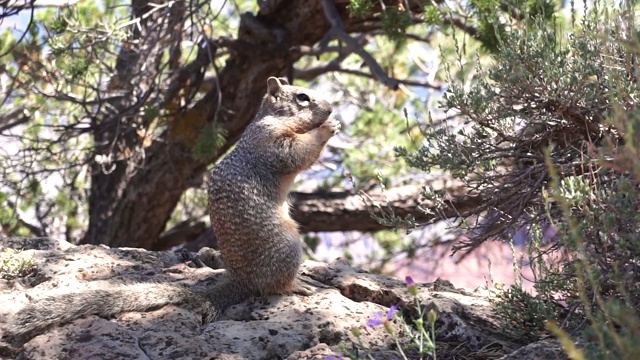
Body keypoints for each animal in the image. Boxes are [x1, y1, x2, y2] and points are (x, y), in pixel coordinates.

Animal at [8, 76, 340, 338]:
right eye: (302, 97)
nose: (331, 109)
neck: (268, 119)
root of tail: (241, 279)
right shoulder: (272, 142)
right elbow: (298, 153)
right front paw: (326, 128)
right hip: (287, 246)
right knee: (274, 286)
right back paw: (298, 284)